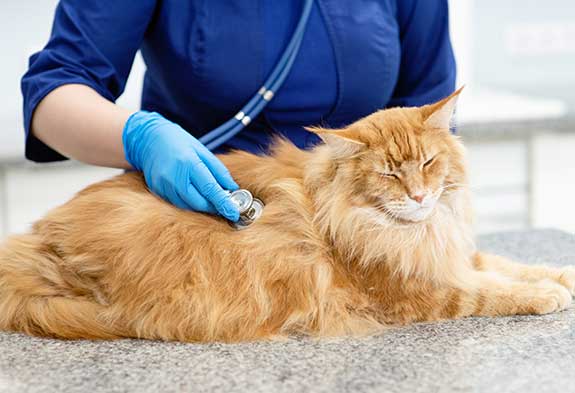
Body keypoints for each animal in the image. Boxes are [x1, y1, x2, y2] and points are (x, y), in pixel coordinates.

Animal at [1, 88, 575, 340]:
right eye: (390, 174)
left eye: (429, 164)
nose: (417, 197)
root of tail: (34, 246)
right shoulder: (418, 291)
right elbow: (492, 291)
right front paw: (547, 297)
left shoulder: (451, 254)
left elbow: (509, 264)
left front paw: (563, 276)